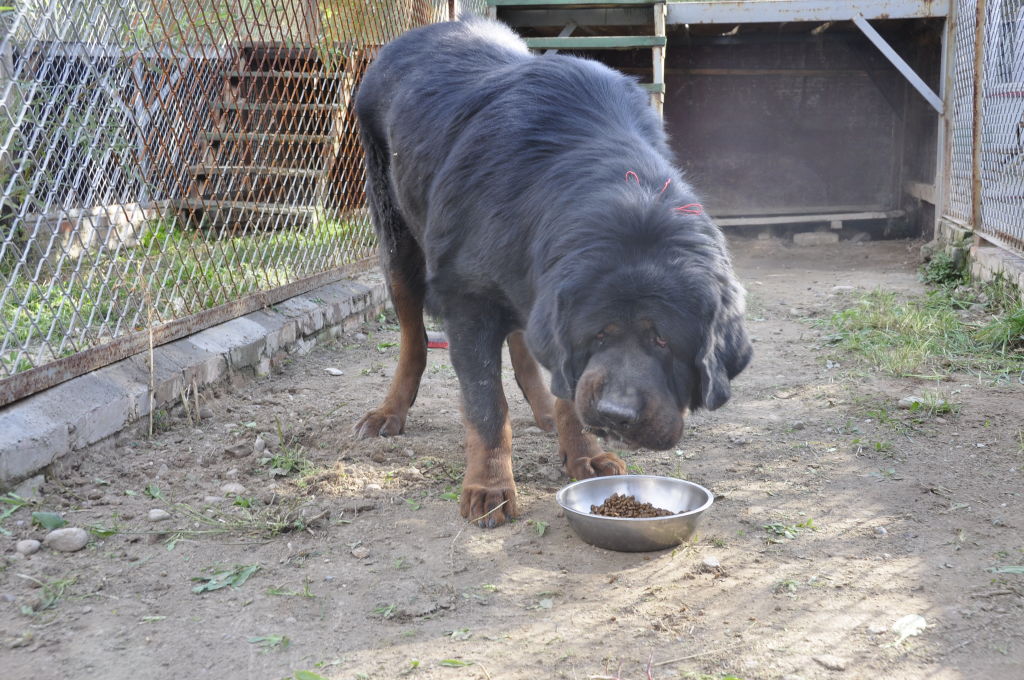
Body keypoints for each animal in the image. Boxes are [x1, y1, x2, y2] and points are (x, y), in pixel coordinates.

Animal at [354, 14, 753, 524]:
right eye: (598, 334)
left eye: (664, 340)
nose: (617, 415)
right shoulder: (469, 300)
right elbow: (487, 405)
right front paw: (489, 486)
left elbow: (566, 389)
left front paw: (583, 454)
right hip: (398, 243)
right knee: (414, 338)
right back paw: (390, 411)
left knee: (523, 340)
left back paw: (543, 408)